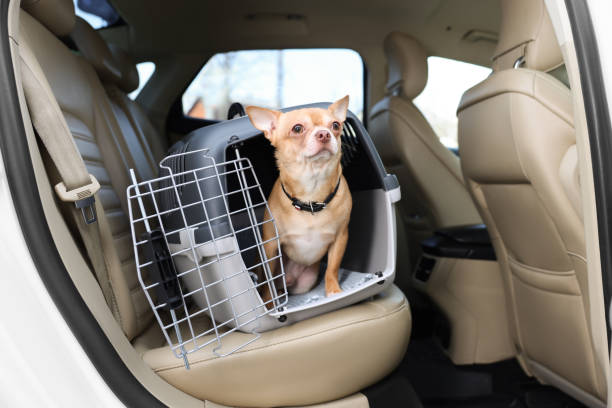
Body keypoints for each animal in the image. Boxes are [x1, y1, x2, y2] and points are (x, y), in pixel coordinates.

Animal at [245, 96, 352, 300]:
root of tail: (288, 281)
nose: (324, 134)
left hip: (305, 282)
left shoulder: (340, 238)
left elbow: (332, 268)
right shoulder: (271, 245)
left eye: (335, 125)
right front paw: (270, 303)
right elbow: (268, 281)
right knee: (271, 282)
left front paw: (333, 290)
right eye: (297, 129)